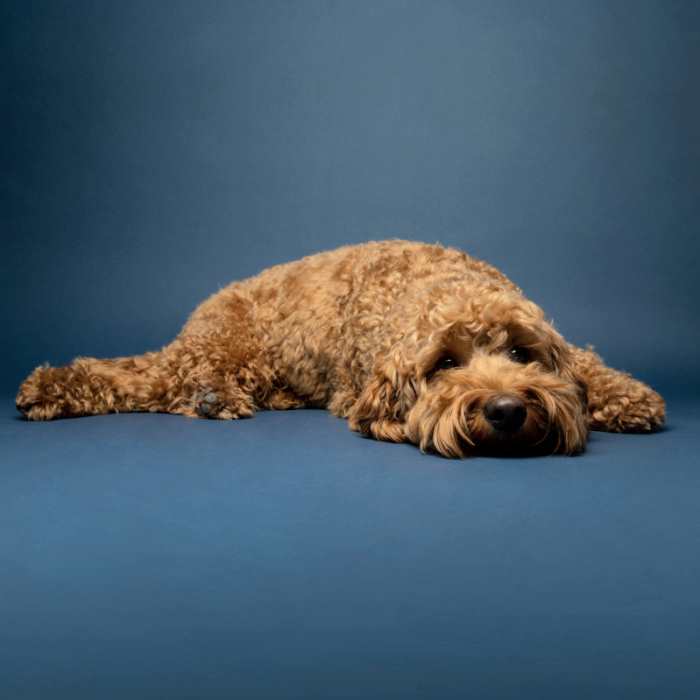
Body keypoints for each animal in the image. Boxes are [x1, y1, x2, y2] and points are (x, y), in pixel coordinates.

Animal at [16, 242, 660, 460]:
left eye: (522, 354)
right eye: (445, 364)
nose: (505, 409)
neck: (437, 284)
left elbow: (589, 364)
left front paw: (630, 398)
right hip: (227, 345)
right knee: (150, 381)